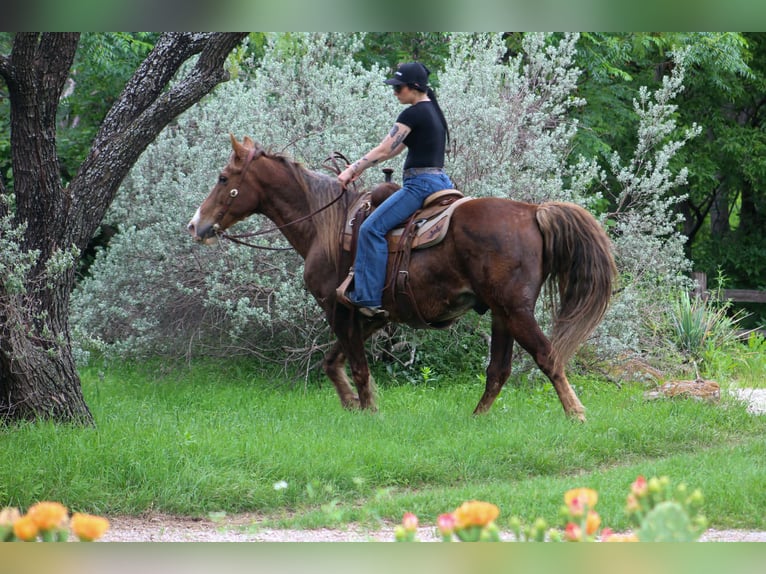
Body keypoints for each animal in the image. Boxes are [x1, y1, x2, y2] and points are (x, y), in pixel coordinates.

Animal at [187, 135, 617, 421]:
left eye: (224, 178)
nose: (196, 224)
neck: (326, 225)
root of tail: (533, 211)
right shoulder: (370, 316)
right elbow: (333, 360)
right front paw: (353, 404)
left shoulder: (338, 308)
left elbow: (357, 366)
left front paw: (367, 411)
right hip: (500, 314)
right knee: (499, 370)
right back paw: (476, 419)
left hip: (515, 310)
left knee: (547, 355)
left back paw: (576, 414)